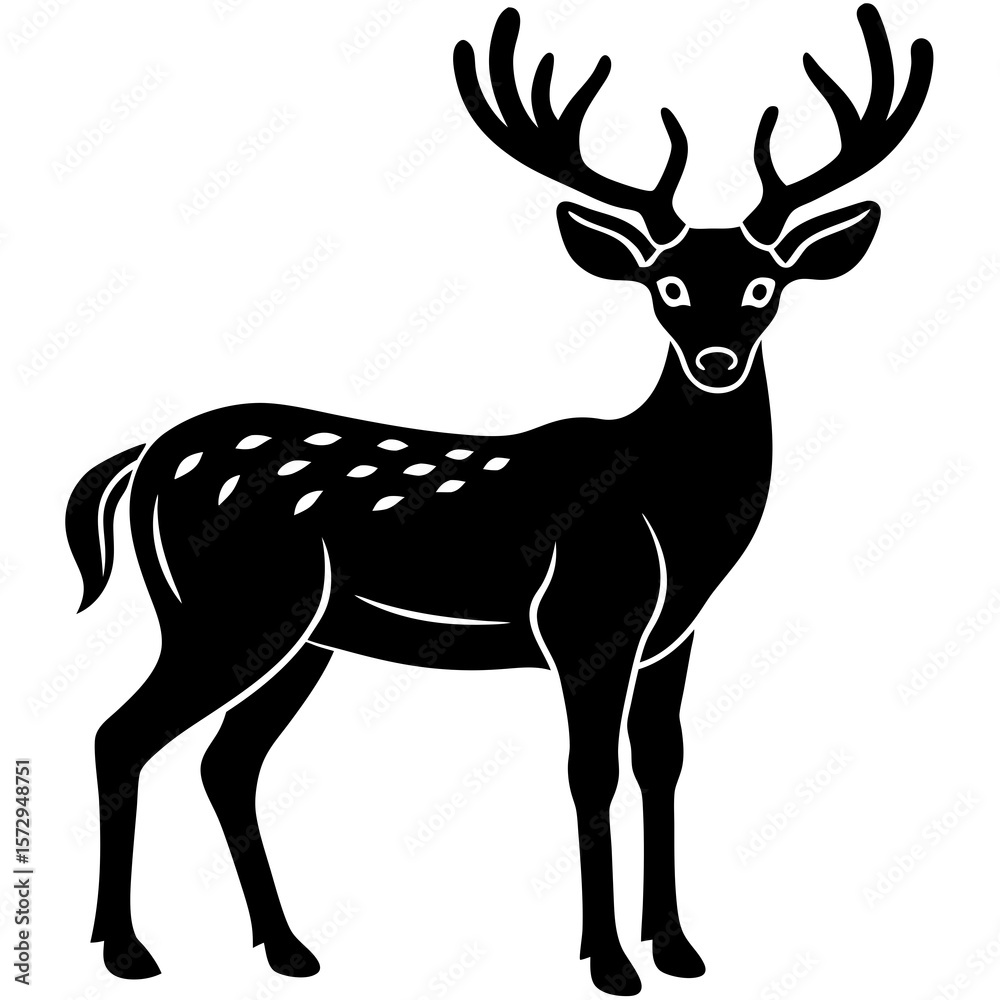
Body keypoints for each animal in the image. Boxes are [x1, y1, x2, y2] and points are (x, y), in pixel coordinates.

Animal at [66, 5, 931, 995]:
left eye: (764, 284)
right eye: (667, 284)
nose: (716, 360)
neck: (674, 523)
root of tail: (142, 460)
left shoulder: (672, 634)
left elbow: (662, 763)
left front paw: (678, 948)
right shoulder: (586, 619)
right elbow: (590, 773)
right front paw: (609, 961)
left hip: (299, 633)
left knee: (225, 761)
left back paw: (286, 948)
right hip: (229, 608)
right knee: (120, 733)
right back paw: (126, 949)